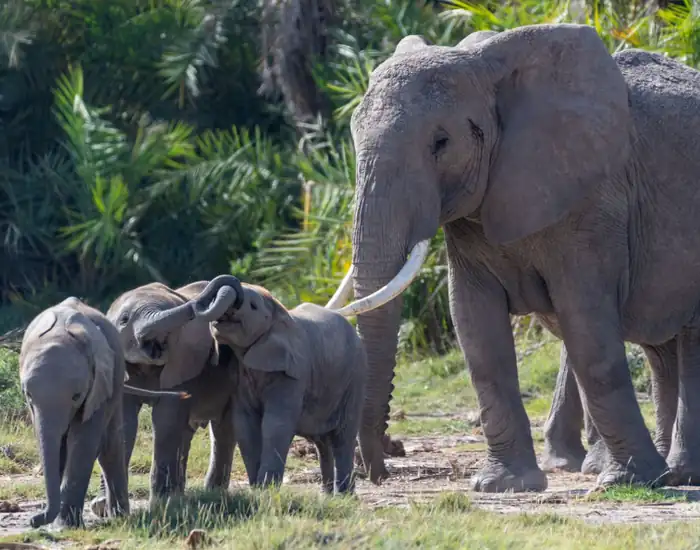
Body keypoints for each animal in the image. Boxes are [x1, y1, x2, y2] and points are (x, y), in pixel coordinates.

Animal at [19, 297, 187, 528]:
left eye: (77, 396)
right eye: (28, 395)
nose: (33, 520)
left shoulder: (99, 383)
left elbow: (83, 442)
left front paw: (64, 527)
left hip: (116, 379)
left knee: (111, 444)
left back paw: (120, 515)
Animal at [90, 280, 238, 513]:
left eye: (175, 331)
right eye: (124, 320)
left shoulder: (183, 363)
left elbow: (165, 420)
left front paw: (161, 504)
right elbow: (125, 422)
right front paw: (101, 507)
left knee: (223, 430)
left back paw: (209, 494)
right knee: (187, 433)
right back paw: (181, 495)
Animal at [133, 275, 370, 494]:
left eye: (253, 306)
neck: (279, 314)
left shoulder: (293, 374)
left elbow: (275, 424)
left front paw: (267, 490)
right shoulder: (240, 376)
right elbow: (245, 425)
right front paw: (259, 488)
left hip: (356, 378)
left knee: (344, 436)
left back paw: (344, 496)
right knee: (323, 442)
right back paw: (328, 495)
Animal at [319, 23, 700, 492]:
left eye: (441, 143)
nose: (381, 466)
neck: (487, 67)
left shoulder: (594, 201)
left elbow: (587, 324)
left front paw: (625, 481)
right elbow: (476, 329)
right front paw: (504, 485)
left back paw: (677, 473)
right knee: (662, 348)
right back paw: (670, 472)